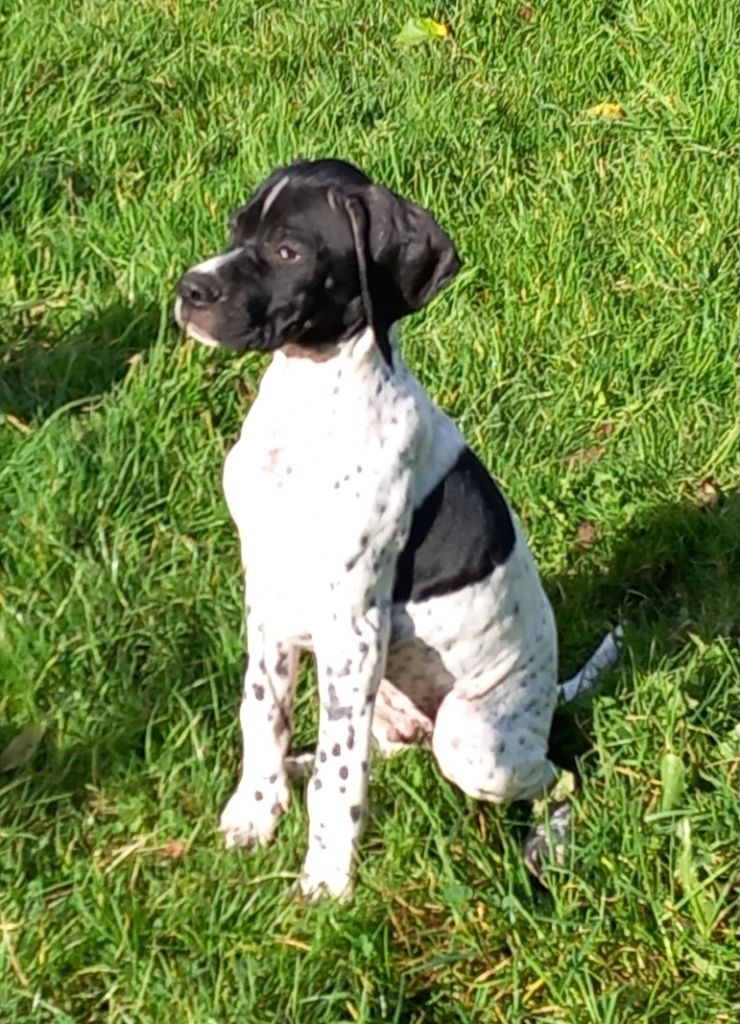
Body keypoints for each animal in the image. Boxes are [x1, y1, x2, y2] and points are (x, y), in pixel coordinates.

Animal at [175, 159, 620, 899]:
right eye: (237, 231)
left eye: (289, 251)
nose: (189, 289)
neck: (308, 403)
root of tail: (549, 704)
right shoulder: (269, 602)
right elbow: (261, 713)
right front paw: (257, 811)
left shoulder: (350, 628)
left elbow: (338, 780)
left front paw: (325, 883)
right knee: (367, 747)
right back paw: (295, 767)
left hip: (471, 742)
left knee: (559, 779)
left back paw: (547, 842)